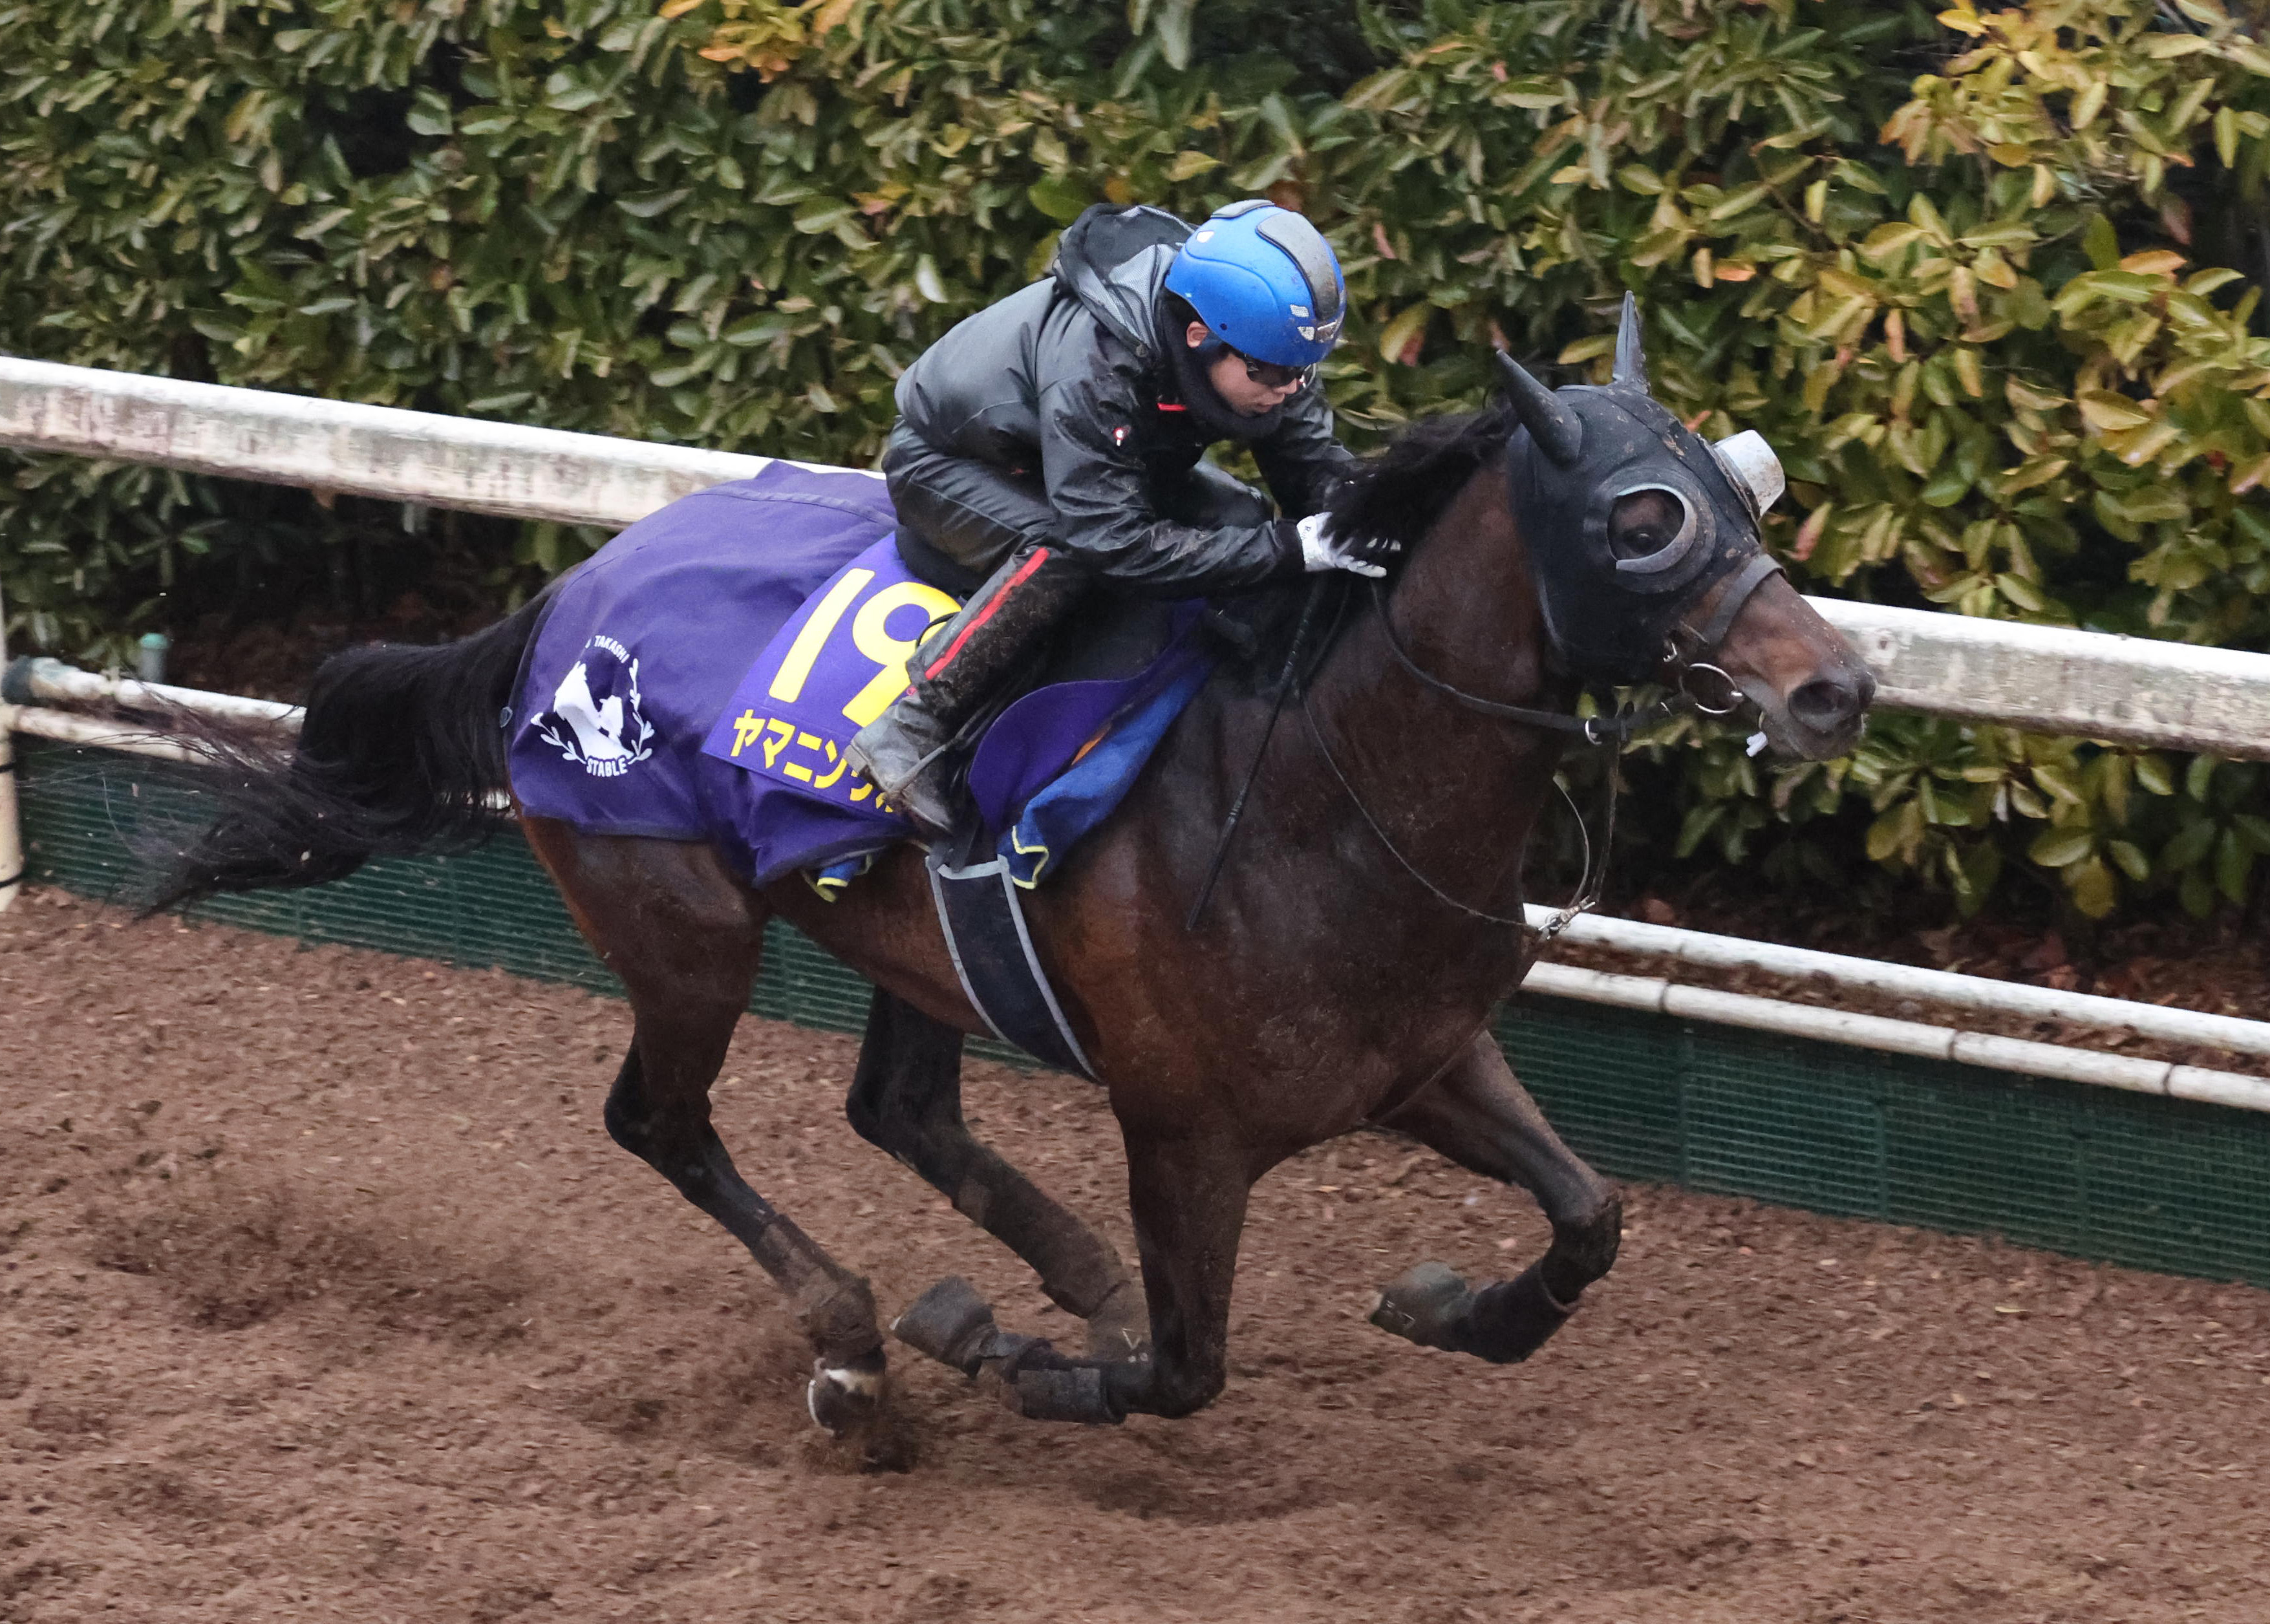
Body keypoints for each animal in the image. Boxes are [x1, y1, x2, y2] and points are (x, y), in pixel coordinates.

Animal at [148, 301, 1874, 1436]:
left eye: (1747, 481)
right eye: (1640, 519)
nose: (1834, 685)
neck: (1325, 787)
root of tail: (570, 591)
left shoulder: (1422, 1054)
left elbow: (1592, 1214)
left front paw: (1455, 1305)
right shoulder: (1180, 1126)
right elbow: (1181, 1370)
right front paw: (988, 1343)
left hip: (909, 936)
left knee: (899, 1107)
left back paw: (1059, 1271)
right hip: (680, 927)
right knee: (663, 1119)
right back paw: (853, 1340)